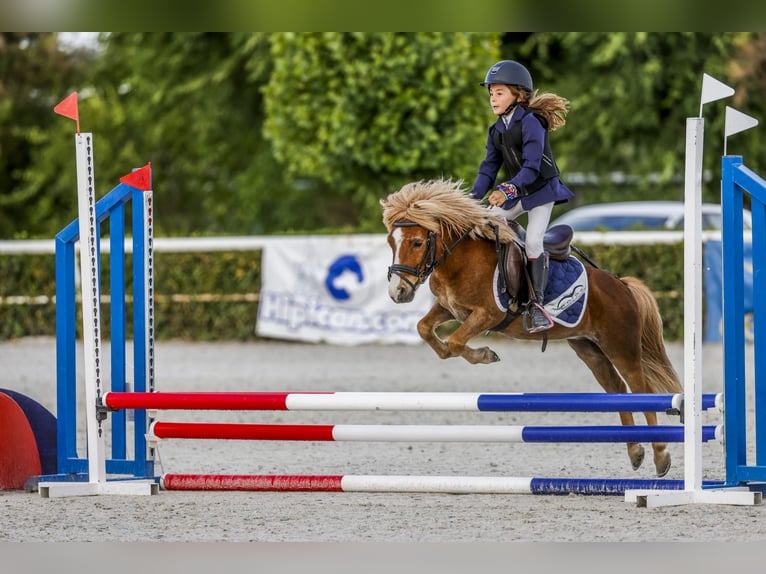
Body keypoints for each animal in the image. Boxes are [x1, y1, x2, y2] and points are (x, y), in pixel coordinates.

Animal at [384, 179, 684, 476]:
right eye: (390, 242)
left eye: (417, 242)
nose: (398, 293)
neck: (460, 259)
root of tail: (622, 285)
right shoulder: (449, 308)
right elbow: (424, 329)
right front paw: (465, 352)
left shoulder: (488, 314)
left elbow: (456, 342)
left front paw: (486, 355)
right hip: (589, 347)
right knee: (617, 389)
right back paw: (635, 451)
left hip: (621, 346)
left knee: (641, 390)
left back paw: (660, 456)